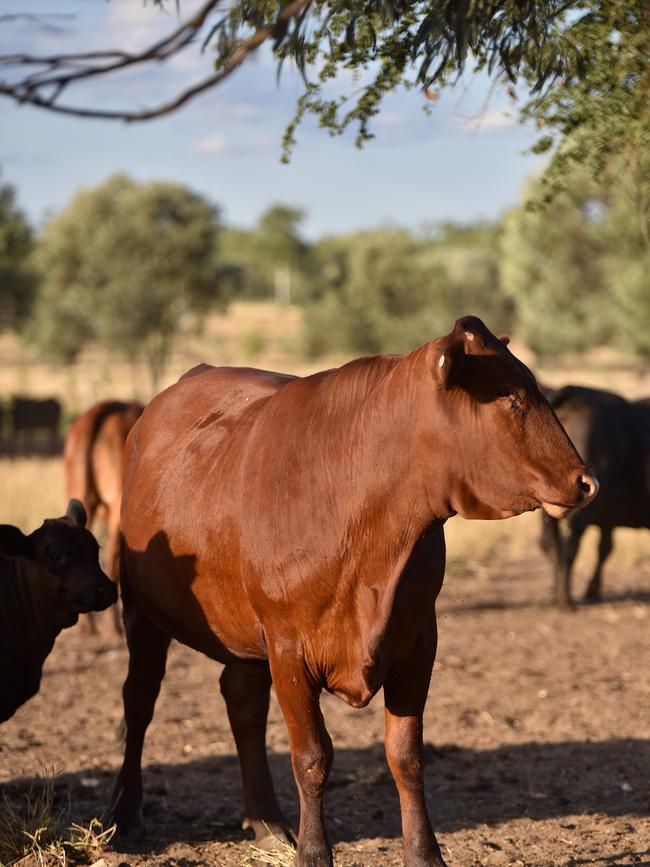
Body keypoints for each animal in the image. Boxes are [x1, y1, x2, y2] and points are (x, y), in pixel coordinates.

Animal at [109, 318, 596, 867]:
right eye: (511, 396)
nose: (585, 482)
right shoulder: (288, 647)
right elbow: (312, 756)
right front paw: (314, 852)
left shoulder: (417, 641)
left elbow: (406, 755)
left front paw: (424, 853)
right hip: (143, 607)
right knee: (140, 699)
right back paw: (126, 816)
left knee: (243, 701)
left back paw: (267, 821)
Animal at [540, 384, 644, 608]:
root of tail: (574, 392)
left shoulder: (608, 520)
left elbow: (605, 548)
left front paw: (593, 591)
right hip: (580, 513)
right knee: (570, 548)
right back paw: (565, 600)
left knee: (552, 543)